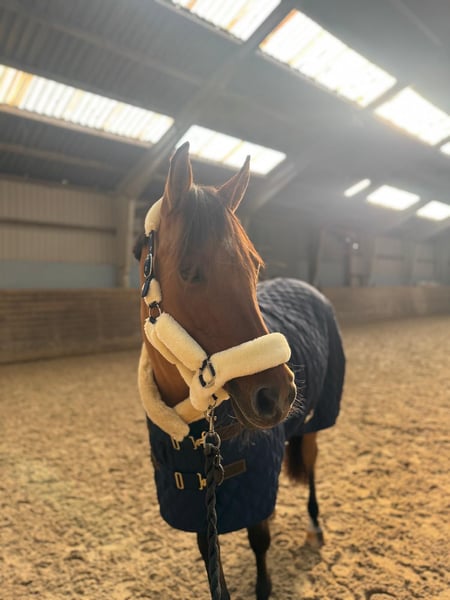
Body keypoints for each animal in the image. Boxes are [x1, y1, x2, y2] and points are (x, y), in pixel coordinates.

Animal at [134, 142, 345, 599]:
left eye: (254, 267)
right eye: (188, 271)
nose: (277, 394)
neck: (193, 427)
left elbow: (259, 540)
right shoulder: (199, 503)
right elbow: (208, 552)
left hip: (315, 422)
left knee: (312, 467)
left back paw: (315, 525)